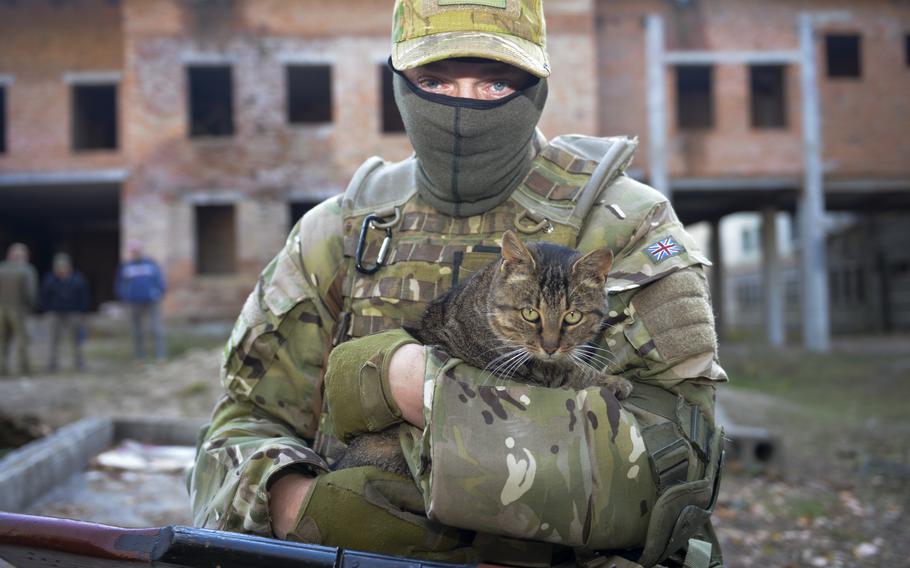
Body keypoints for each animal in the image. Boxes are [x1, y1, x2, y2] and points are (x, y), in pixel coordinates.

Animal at [334, 231, 636, 474]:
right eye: (529, 313)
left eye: (572, 316)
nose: (550, 347)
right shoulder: (522, 368)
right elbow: (572, 371)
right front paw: (612, 381)